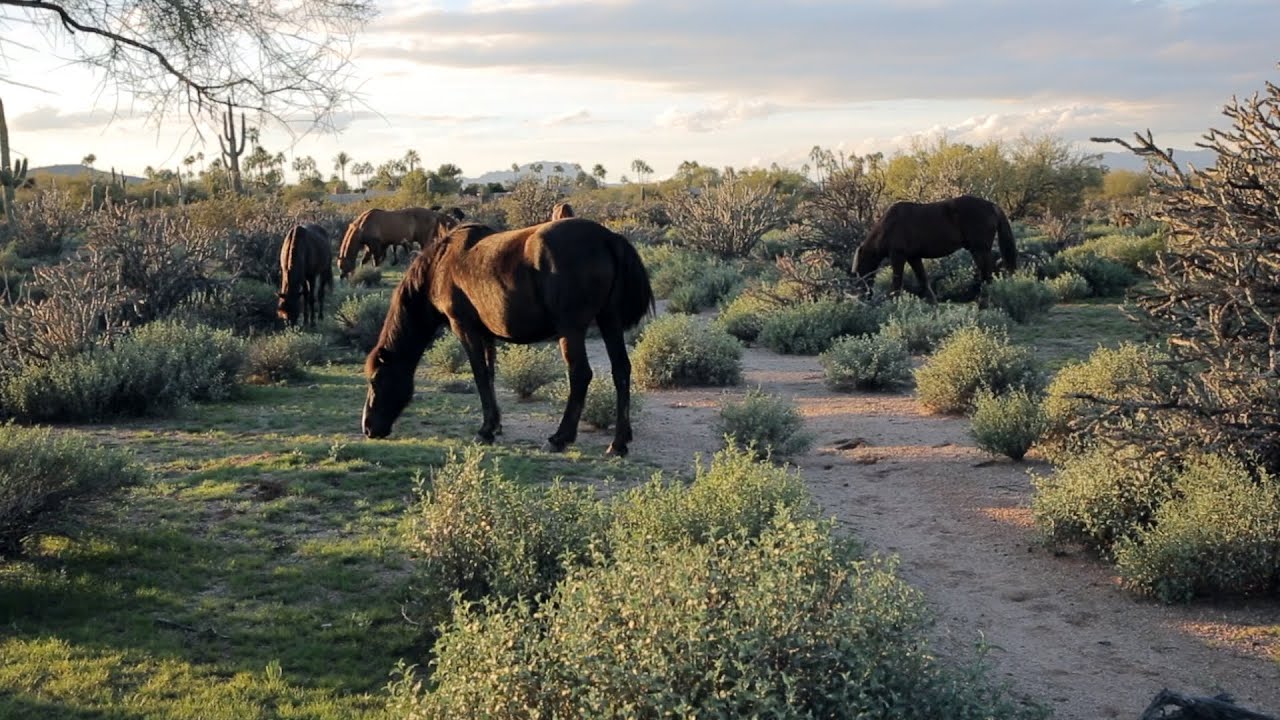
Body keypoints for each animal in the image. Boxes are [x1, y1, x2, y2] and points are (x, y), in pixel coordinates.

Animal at [361, 217, 655, 456]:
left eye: (376, 380)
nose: (367, 428)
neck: (440, 266)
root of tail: (608, 238)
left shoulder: (464, 328)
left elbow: (480, 375)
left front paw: (485, 431)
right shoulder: (486, 334)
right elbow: (490, 374)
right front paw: (495, 426)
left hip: (571, 330)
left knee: (581, 374)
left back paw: (560, 438)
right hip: (609, 321)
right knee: (621, 370)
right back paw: (618, 443)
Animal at [852, 194, 1017, 302]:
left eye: (860, 270)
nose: (864, 296)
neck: (888, 226)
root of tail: (992, 206)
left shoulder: (898, 256)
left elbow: (897, 283)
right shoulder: (913, 257)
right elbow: (923, 280)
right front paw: (933, 304)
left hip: (979, 250)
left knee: (987, 274)